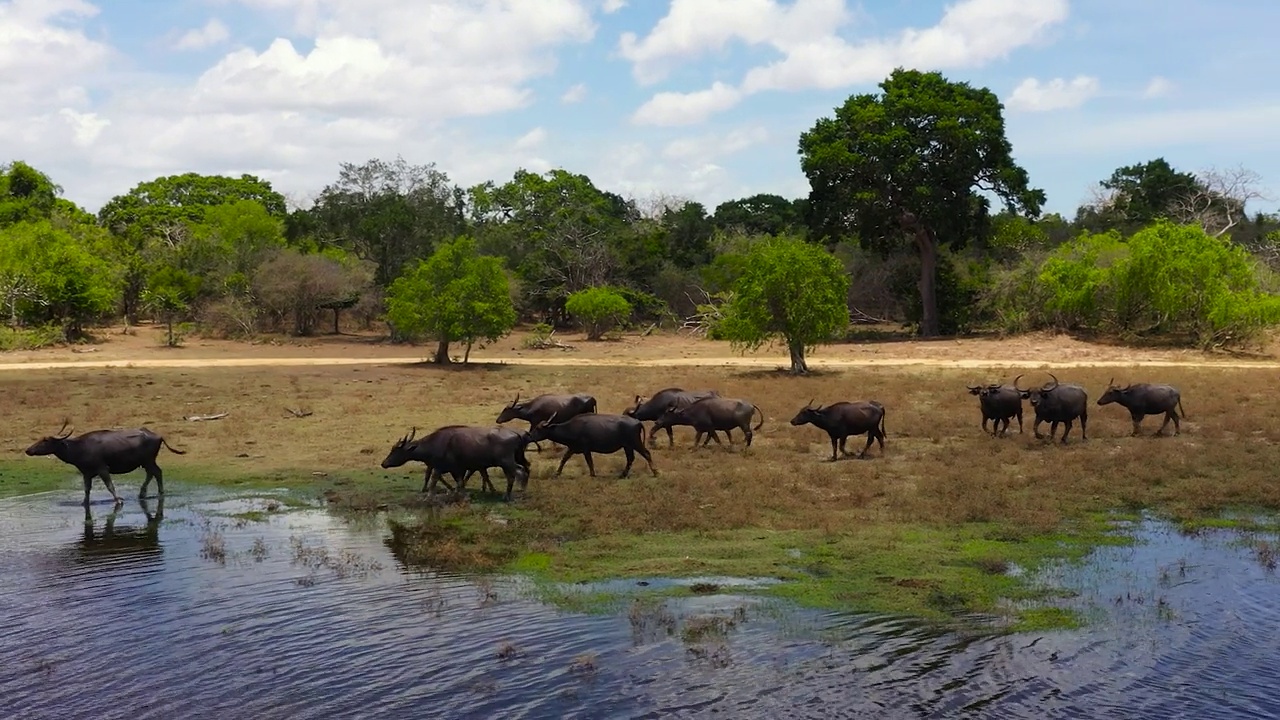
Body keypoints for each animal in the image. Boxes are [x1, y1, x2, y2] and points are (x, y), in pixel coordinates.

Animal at [24, 417, 184, 507]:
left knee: (157, 472)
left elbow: (110, 486)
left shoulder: (102, 468)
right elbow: (87, 490)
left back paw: (158, 492)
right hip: (146, 462)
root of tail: (160, 436)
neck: (78, 450)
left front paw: (118, 501)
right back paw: (142, 494)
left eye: (45, 440)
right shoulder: (86, 473)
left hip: (148, 460)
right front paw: (84, 503)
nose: (28, 450)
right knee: (153, 473)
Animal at [524, 409, 655, 476]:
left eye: (538, 429)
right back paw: (623, 474)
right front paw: (557, 472)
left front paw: (592, 474)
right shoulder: (572, 448)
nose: (529, 436)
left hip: (635, 443)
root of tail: (637, 422)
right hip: (627, 446)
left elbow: (589, 462)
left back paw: (655, 472)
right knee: (630, 458)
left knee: (646, 454)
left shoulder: (586, 449)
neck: (571, 428)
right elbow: (564, 459)